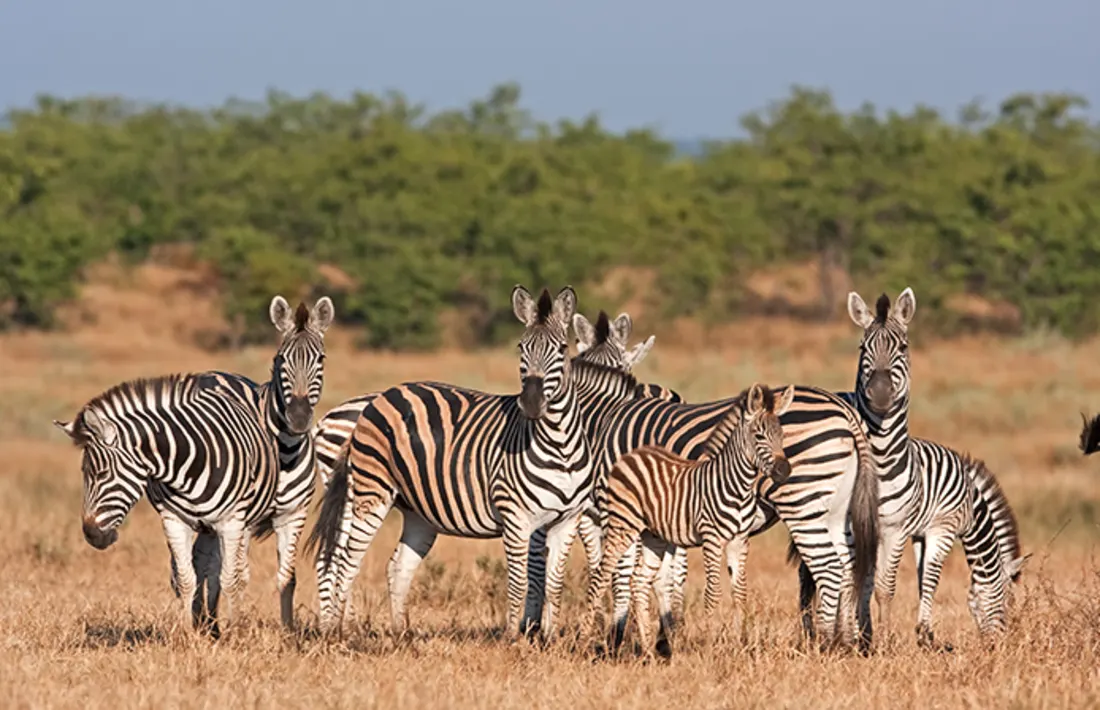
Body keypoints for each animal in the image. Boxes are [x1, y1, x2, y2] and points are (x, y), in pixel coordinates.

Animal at [305, 286, 598, 638]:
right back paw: (342, 633)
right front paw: (513, 640)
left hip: (417, 511)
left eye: (562, 348)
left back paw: (399, 635)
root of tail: (384, 395)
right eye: (521, 347)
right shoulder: (516, 517)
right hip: (369, 493)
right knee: (345, 561)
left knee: (397, 566)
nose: (530, 403)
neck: (561, 445)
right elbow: (518, 582)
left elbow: (555, 585)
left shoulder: (567, 520)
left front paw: (551, 640)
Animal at [589, 385, 796, 656]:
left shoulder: (740, 540)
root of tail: (632, 454)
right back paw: (585, 640)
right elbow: (712, 593)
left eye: (781, 435)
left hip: (652, 535)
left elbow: (740, 593)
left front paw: (740, 645)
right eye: (759, 436)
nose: (785, 471)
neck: (737, 486)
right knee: (601, 576)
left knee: (639, 581)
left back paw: (648, 652)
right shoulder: (711, 538)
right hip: (622, 524)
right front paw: (709, 648)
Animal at [792, 286, 1029, 647]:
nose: (998, 644)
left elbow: (914, 580)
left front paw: (898, 634)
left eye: (903, 347)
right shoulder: (938, 528)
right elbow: (894, 583)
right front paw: (887, 638)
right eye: (862, 347)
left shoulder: (912, 530)